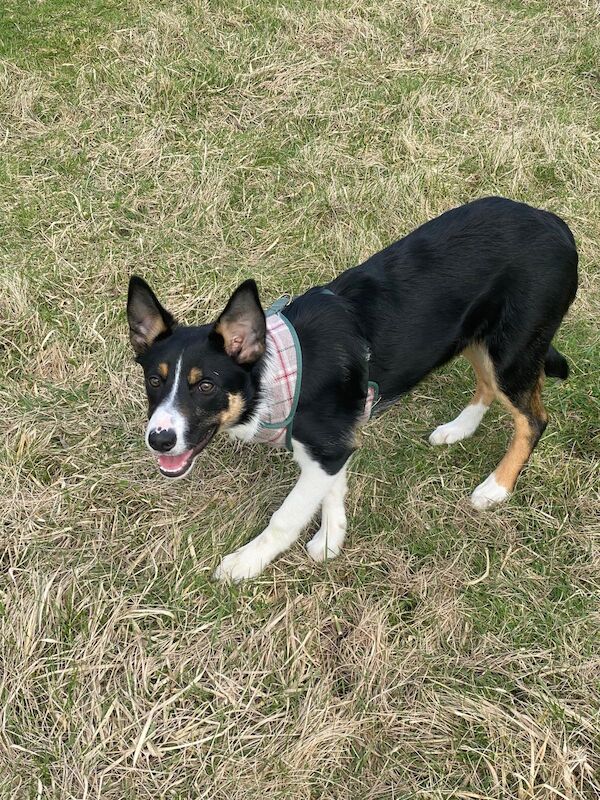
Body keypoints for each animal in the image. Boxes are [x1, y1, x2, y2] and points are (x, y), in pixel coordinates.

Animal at [125, 194, 576, 580]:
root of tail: (554, 223)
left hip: (511, 351)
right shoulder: (333, 444)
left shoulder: (326, 447)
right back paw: (458, 429)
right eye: (154, 380)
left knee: (533, 418)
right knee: (488, 387)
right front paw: (331, 538)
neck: (282, 371)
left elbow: (286, 516)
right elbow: (331, 489)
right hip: (479, 339)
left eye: (206, 386)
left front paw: (246, 562)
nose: (159, 440)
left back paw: (496, 487)